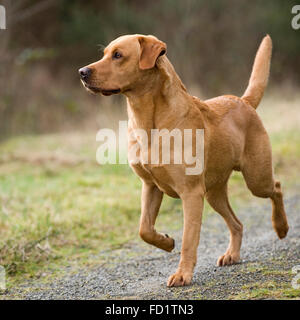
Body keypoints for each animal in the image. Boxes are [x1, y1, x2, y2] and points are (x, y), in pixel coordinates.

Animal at [79, 33, 288, 286]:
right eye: (104, 54)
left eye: (118, 55)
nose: (81, 72)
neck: (148, 121)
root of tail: (243, 101)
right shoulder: (150, 186)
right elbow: (144, 229)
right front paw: (166, 241)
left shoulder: (191, 193)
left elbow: (189, 239)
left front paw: (182, 274)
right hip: (214, 193)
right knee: (237, 223)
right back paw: (232, 254)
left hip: (256, 178)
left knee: (276, 187)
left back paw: (281, 227)